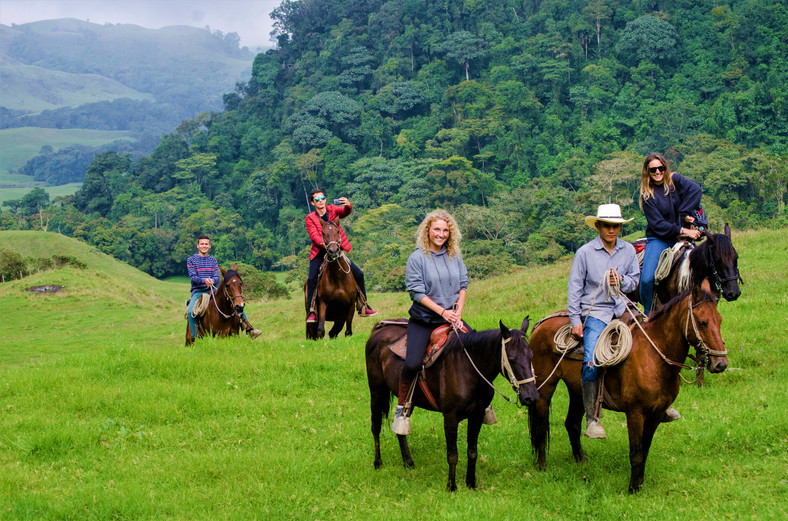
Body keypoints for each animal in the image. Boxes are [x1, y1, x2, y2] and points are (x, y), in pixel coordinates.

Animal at [364, 316, 540, 492]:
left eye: (531, 355)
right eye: (511, 358)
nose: (531, 396)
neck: (468, 368)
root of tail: (380, 328)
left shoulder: (477, 415)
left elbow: (472, 451)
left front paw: (471, 483)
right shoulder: (450, 418)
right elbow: (452, 455)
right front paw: (451, 486)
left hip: (409, 399)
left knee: (401, 425)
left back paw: (408, 462)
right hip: (377, 390)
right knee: (376, 426)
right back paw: (377, 463)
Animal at [528, 284, 728, 492]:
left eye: (719, 320)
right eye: (703, 322)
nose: (721, 363)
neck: (653, 356)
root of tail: (541, 324)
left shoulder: (657, 414)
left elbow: (645, 450)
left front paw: (639, 485)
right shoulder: (635, 413)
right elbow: (636, 453)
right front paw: (632, 489)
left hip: (577, 391)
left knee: (572, 424)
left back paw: (582, 463)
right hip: (545, 387)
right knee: (540, 426)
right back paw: (542, 467)